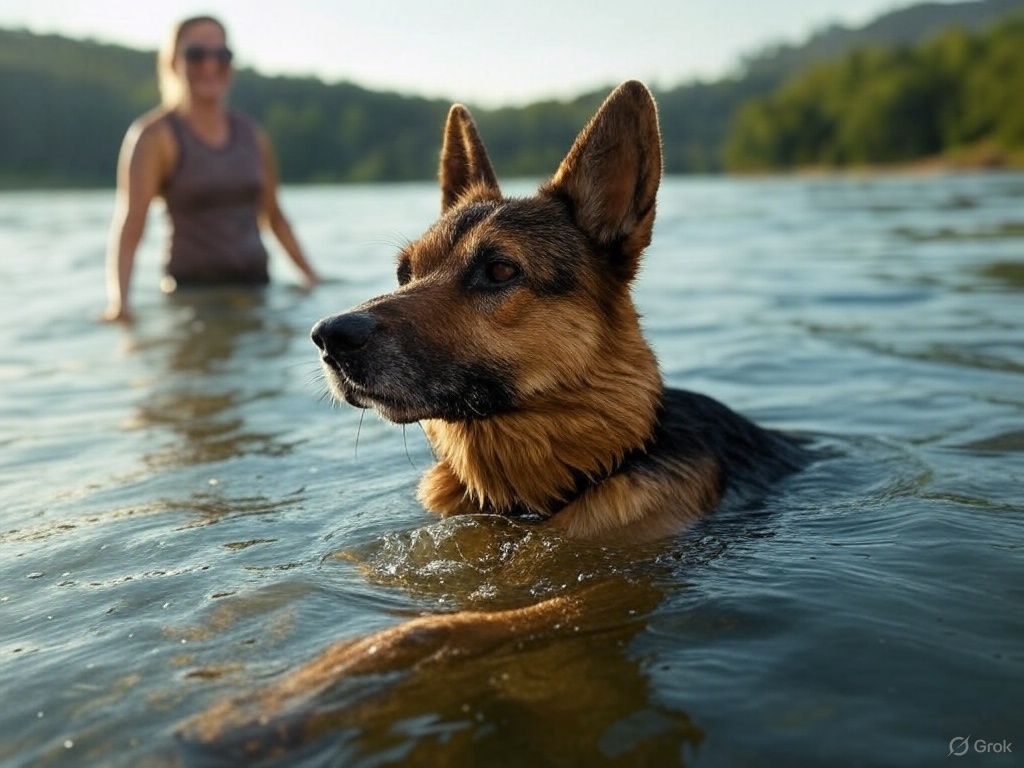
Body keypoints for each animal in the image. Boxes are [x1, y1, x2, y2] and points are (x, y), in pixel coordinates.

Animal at [186, 78, 806, 753]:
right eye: (404, 272)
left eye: (501, 270)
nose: (328, 337)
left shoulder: (606, 592)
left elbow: (436, 628)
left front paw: (289, 696)